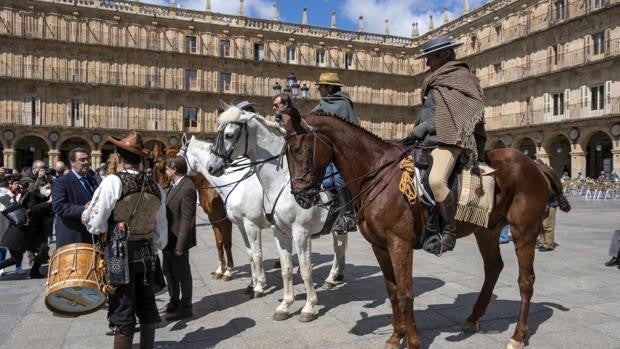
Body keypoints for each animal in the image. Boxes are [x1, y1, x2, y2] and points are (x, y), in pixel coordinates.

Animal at [152, 143, 235, 278]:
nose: (163, 188)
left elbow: (227, 243)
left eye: (162, 168)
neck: (211, 186)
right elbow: (219, 242)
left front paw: (228, 271)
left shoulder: (225, 220)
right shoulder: (214, 219)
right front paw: (219, 270)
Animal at [203, 105, 348, 320]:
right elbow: (286, 268)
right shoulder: (279, 232)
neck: (282, 181)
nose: (212, 166)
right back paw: (333, 277)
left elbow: (305, 269)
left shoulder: (300, 233)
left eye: (228, 135)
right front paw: (285, 305)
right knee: (340, 247)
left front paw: (308, 306)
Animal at [280, 112, 572, 348]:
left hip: (524, 230)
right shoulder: (379, 246)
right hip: (487, 230)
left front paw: (413, 340)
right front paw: (396, 337)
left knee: (526, 280)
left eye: (297, 149)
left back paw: (518, 335)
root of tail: (535, 164)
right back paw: (473, 318)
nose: (301, 196)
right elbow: (392, 290)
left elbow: (406, 293)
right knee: (493, 268)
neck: (376, 173)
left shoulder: (400, 243)